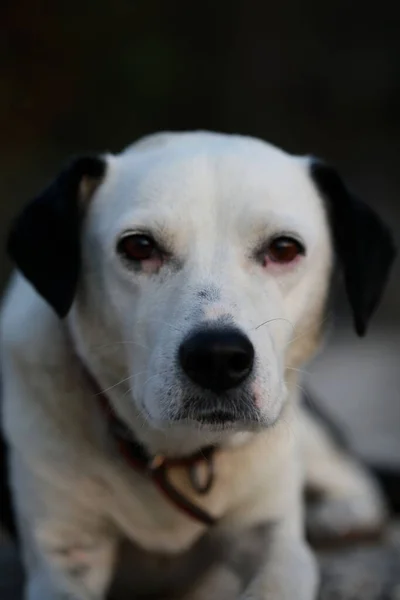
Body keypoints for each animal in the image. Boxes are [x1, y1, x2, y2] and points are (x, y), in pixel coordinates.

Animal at [0, 132, 394, 600]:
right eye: (138, 246)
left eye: (283, 248)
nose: (217, 358)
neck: (177, 454)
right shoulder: (65, 554)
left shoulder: (273, 538)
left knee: (359, 477)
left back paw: (339, 515)